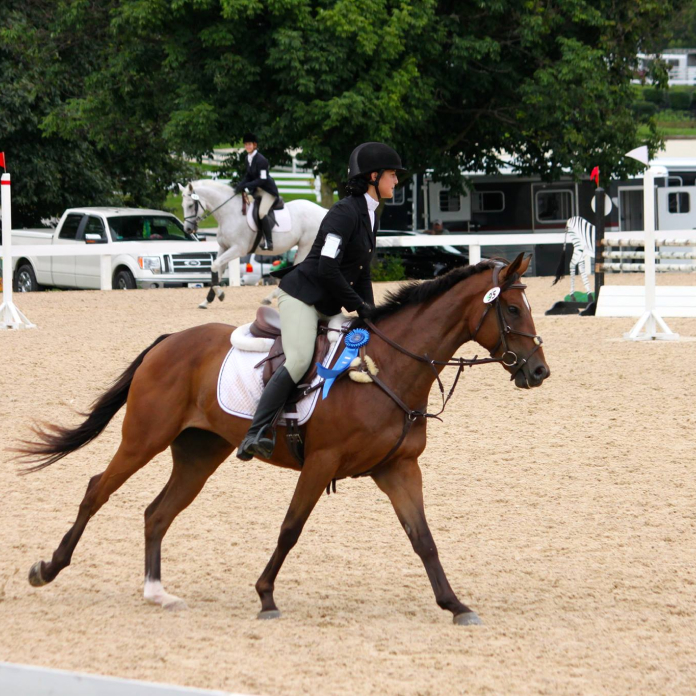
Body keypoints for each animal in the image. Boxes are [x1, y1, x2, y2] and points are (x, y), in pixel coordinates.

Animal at [16, 254, 548, 624]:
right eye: (513, 309)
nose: (540, 372)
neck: (389, 368)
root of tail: (167, 342)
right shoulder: (321, 462)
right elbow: (290, 529)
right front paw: (266, 596)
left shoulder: (398, 469)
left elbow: (424, 540)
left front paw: (455, 604)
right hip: (142, 439)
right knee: (97, 491)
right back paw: (49, 568)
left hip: (199, 453)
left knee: (157, 513)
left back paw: (157, 592)